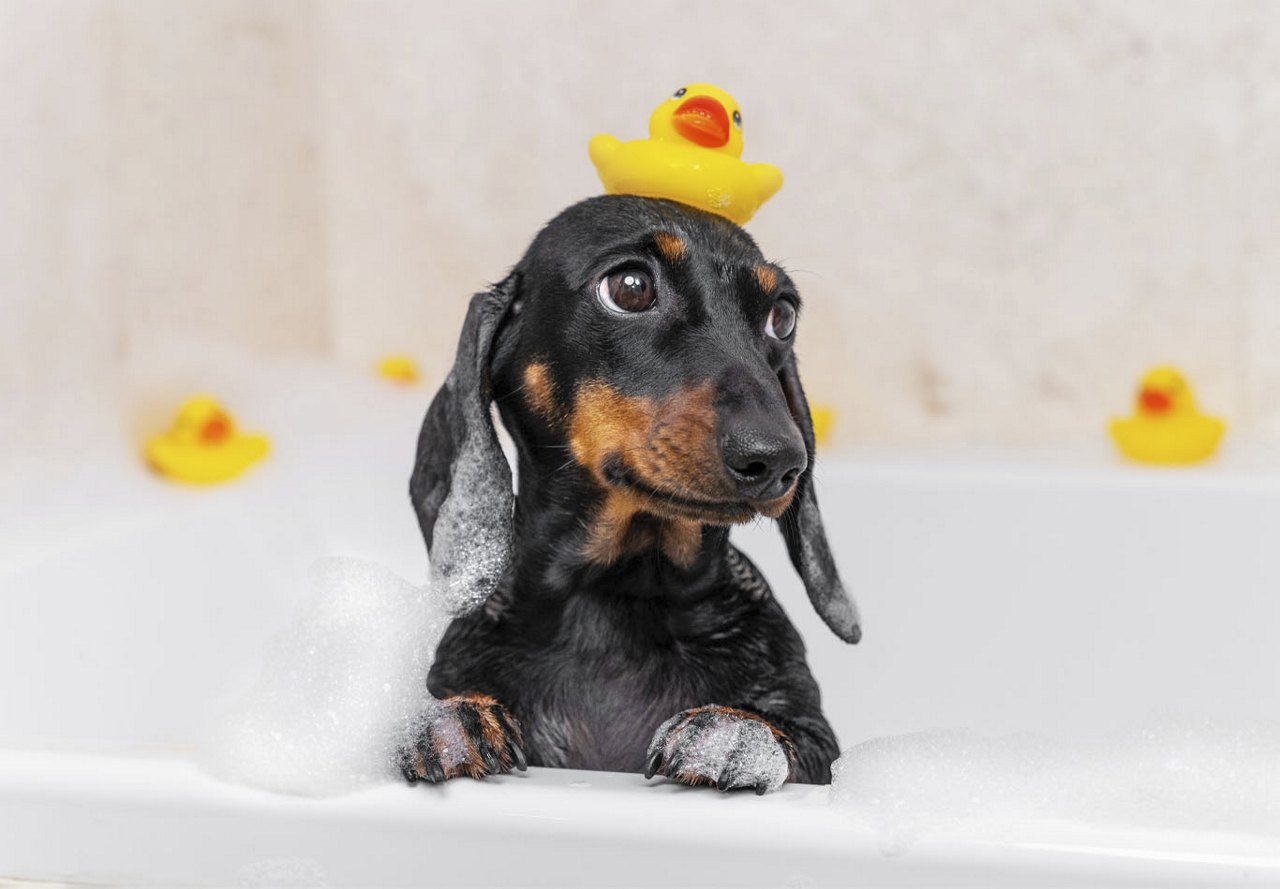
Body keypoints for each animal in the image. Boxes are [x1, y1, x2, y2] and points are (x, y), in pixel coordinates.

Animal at [399, 196, 860, 793]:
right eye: (630, 288)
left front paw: (737, 732)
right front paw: (450, 721)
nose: (779, 460)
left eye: (782, 316)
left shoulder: (822, 750)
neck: (618, 593)